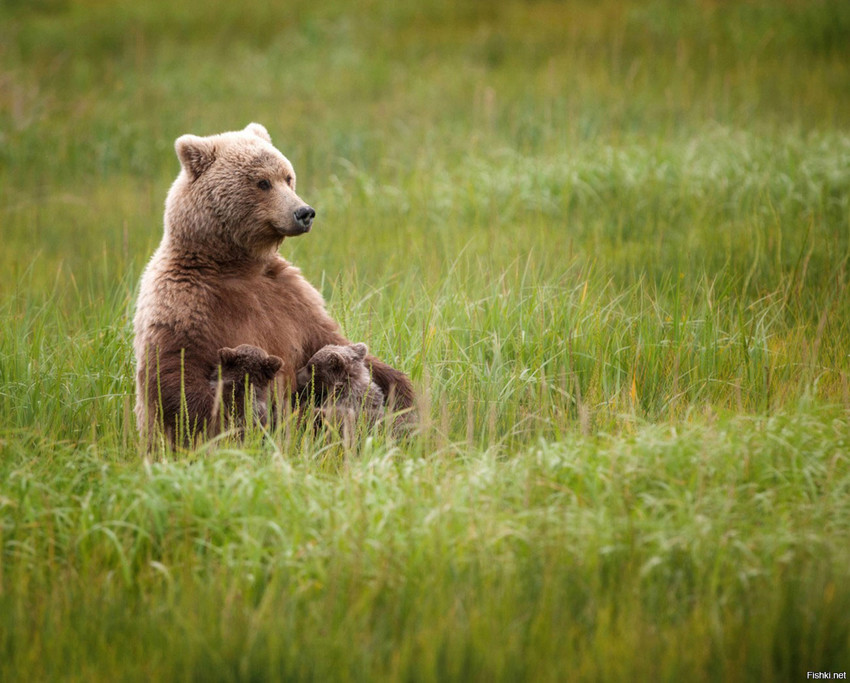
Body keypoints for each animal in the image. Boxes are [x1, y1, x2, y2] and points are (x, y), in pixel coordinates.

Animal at [132, 123, 414, 448]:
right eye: (262, 182)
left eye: (288, 177)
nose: (304, 212)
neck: (235, 264)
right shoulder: (184, 302)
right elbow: (178, 377)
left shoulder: (291, 298)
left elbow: (332, 340)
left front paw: (403, 396)